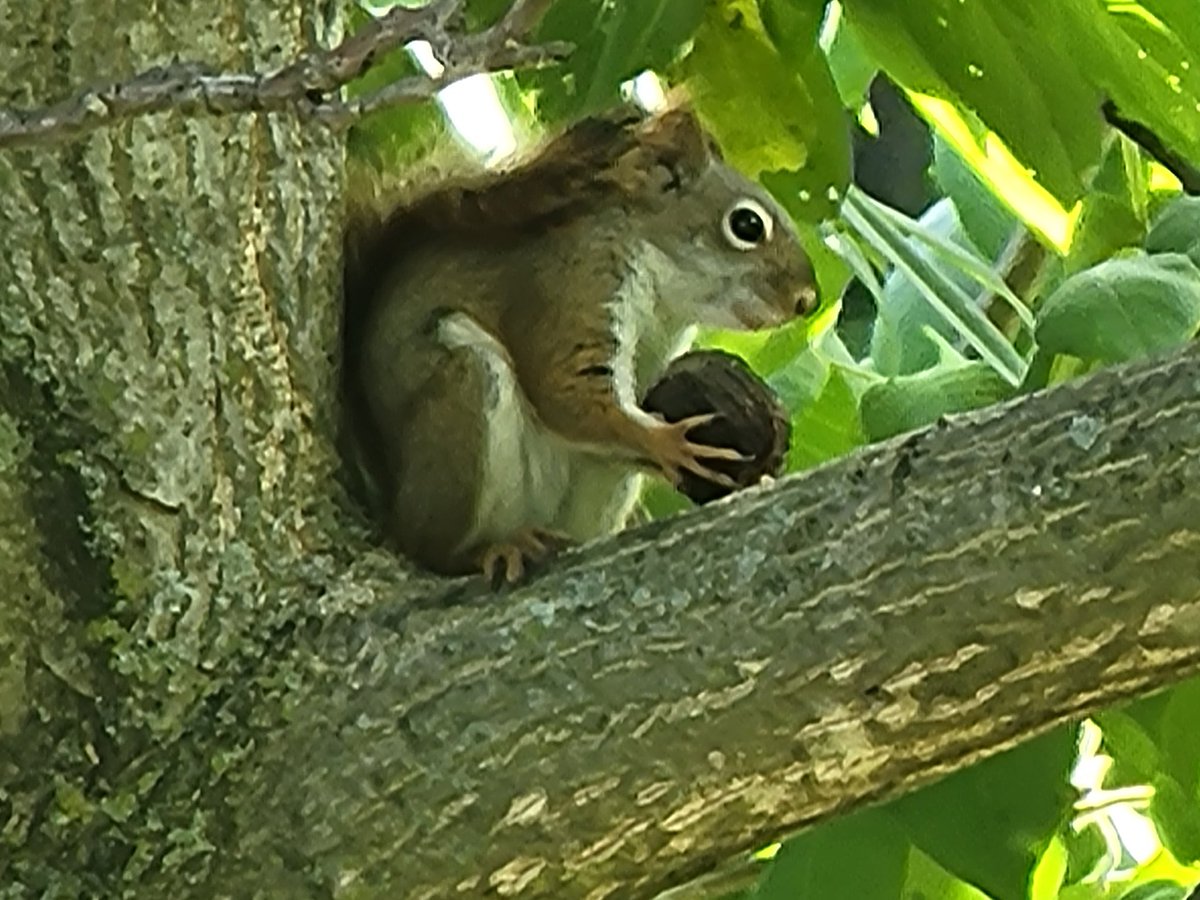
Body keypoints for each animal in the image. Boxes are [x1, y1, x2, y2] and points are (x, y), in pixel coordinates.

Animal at [342, 103, 818, 583]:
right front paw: (670, 443)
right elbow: (562, 390)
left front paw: (757, 473)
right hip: (461, 400)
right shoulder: (574, 283)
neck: (665, 298)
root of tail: (394, 498)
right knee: (429, 546)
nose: (807, 300)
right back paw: (489, 549)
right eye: (747, 224)